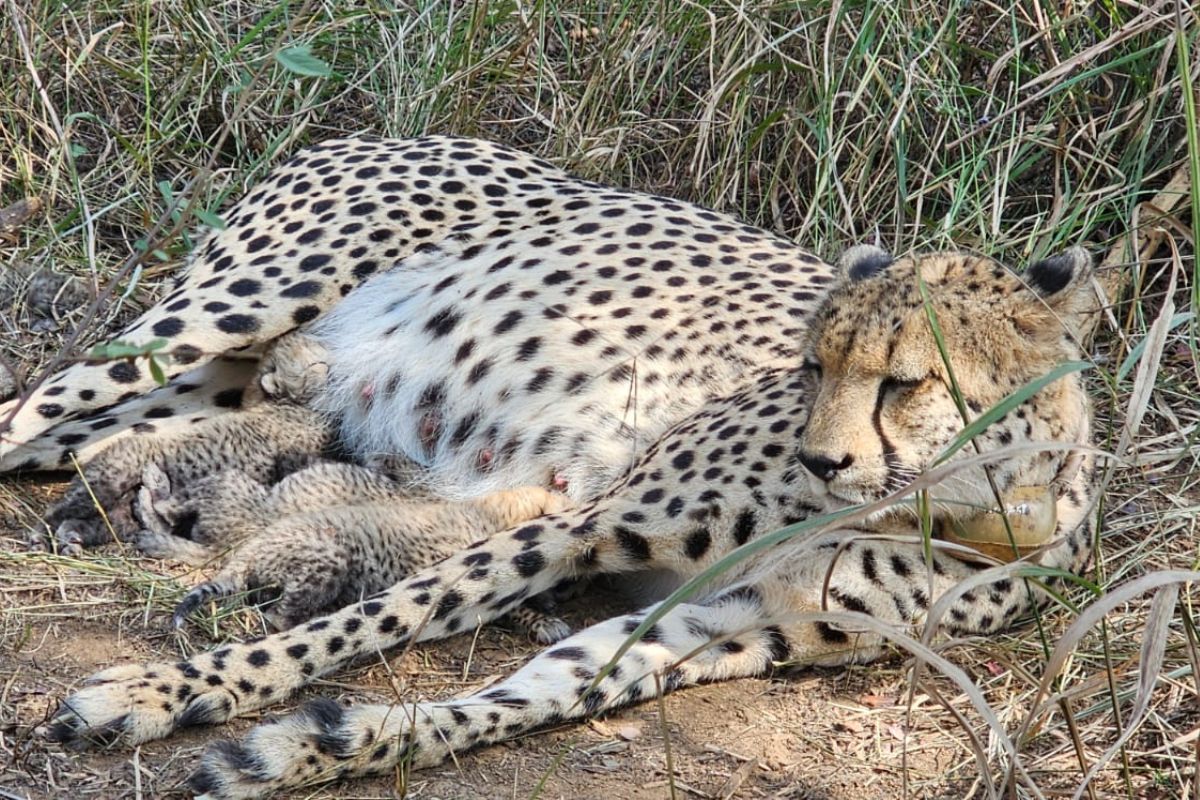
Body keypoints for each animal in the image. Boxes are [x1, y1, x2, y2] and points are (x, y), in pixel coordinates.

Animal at [0, 137, 1099, 799]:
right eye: (812, 364)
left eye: (905, 380)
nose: (818, 455)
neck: (963, 506)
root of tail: (391, 132)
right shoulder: (583, 522)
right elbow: (373, 620)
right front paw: (163, 691)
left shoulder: (736, 622)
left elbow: (529, 694)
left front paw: (308, 749)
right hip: (221, 312)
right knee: (23, 410)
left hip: (218, 392)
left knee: (94, 440)